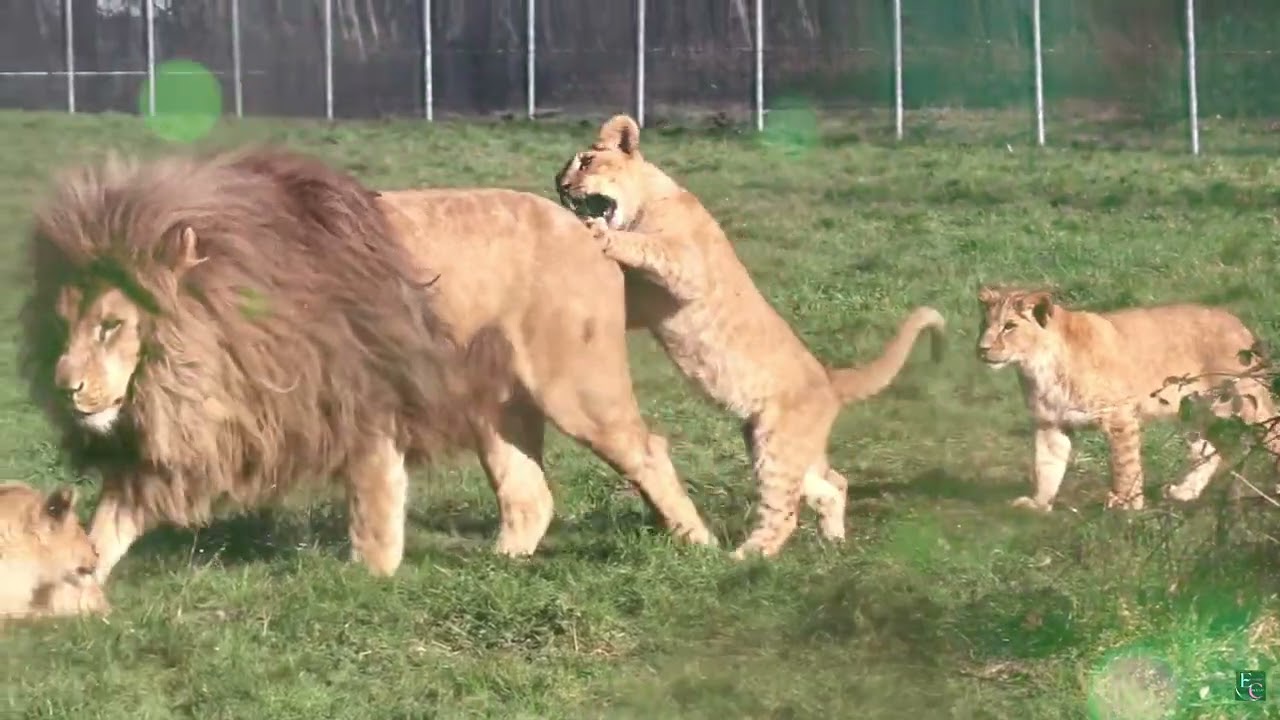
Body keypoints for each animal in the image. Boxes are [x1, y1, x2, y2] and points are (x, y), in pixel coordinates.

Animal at [553, 114, 948, 558]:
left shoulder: (687, 267)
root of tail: (829, 378)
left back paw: (742, 558)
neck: (650, 198)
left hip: (777, 445)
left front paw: (599, 234)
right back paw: (832, 541)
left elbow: (643, 246)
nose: (560, 186)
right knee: (832, 485)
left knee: (784, 513)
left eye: (586, 162)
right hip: (772, 443)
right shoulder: (640, 302)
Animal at [975, 285, 1280, 510]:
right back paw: (1183, 493)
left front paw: (1126, 505)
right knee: (1208, 449)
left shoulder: (1119, 415)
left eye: (1009, 326)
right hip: (1190, 409)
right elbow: (1046, 466)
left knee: (1272, 429)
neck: (1037, 367)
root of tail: (1238, 323)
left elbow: (1125, 465)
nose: (982, 349)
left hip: (1245, 400)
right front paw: (1038, 505)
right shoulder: (1049, 423)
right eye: (984, 325)